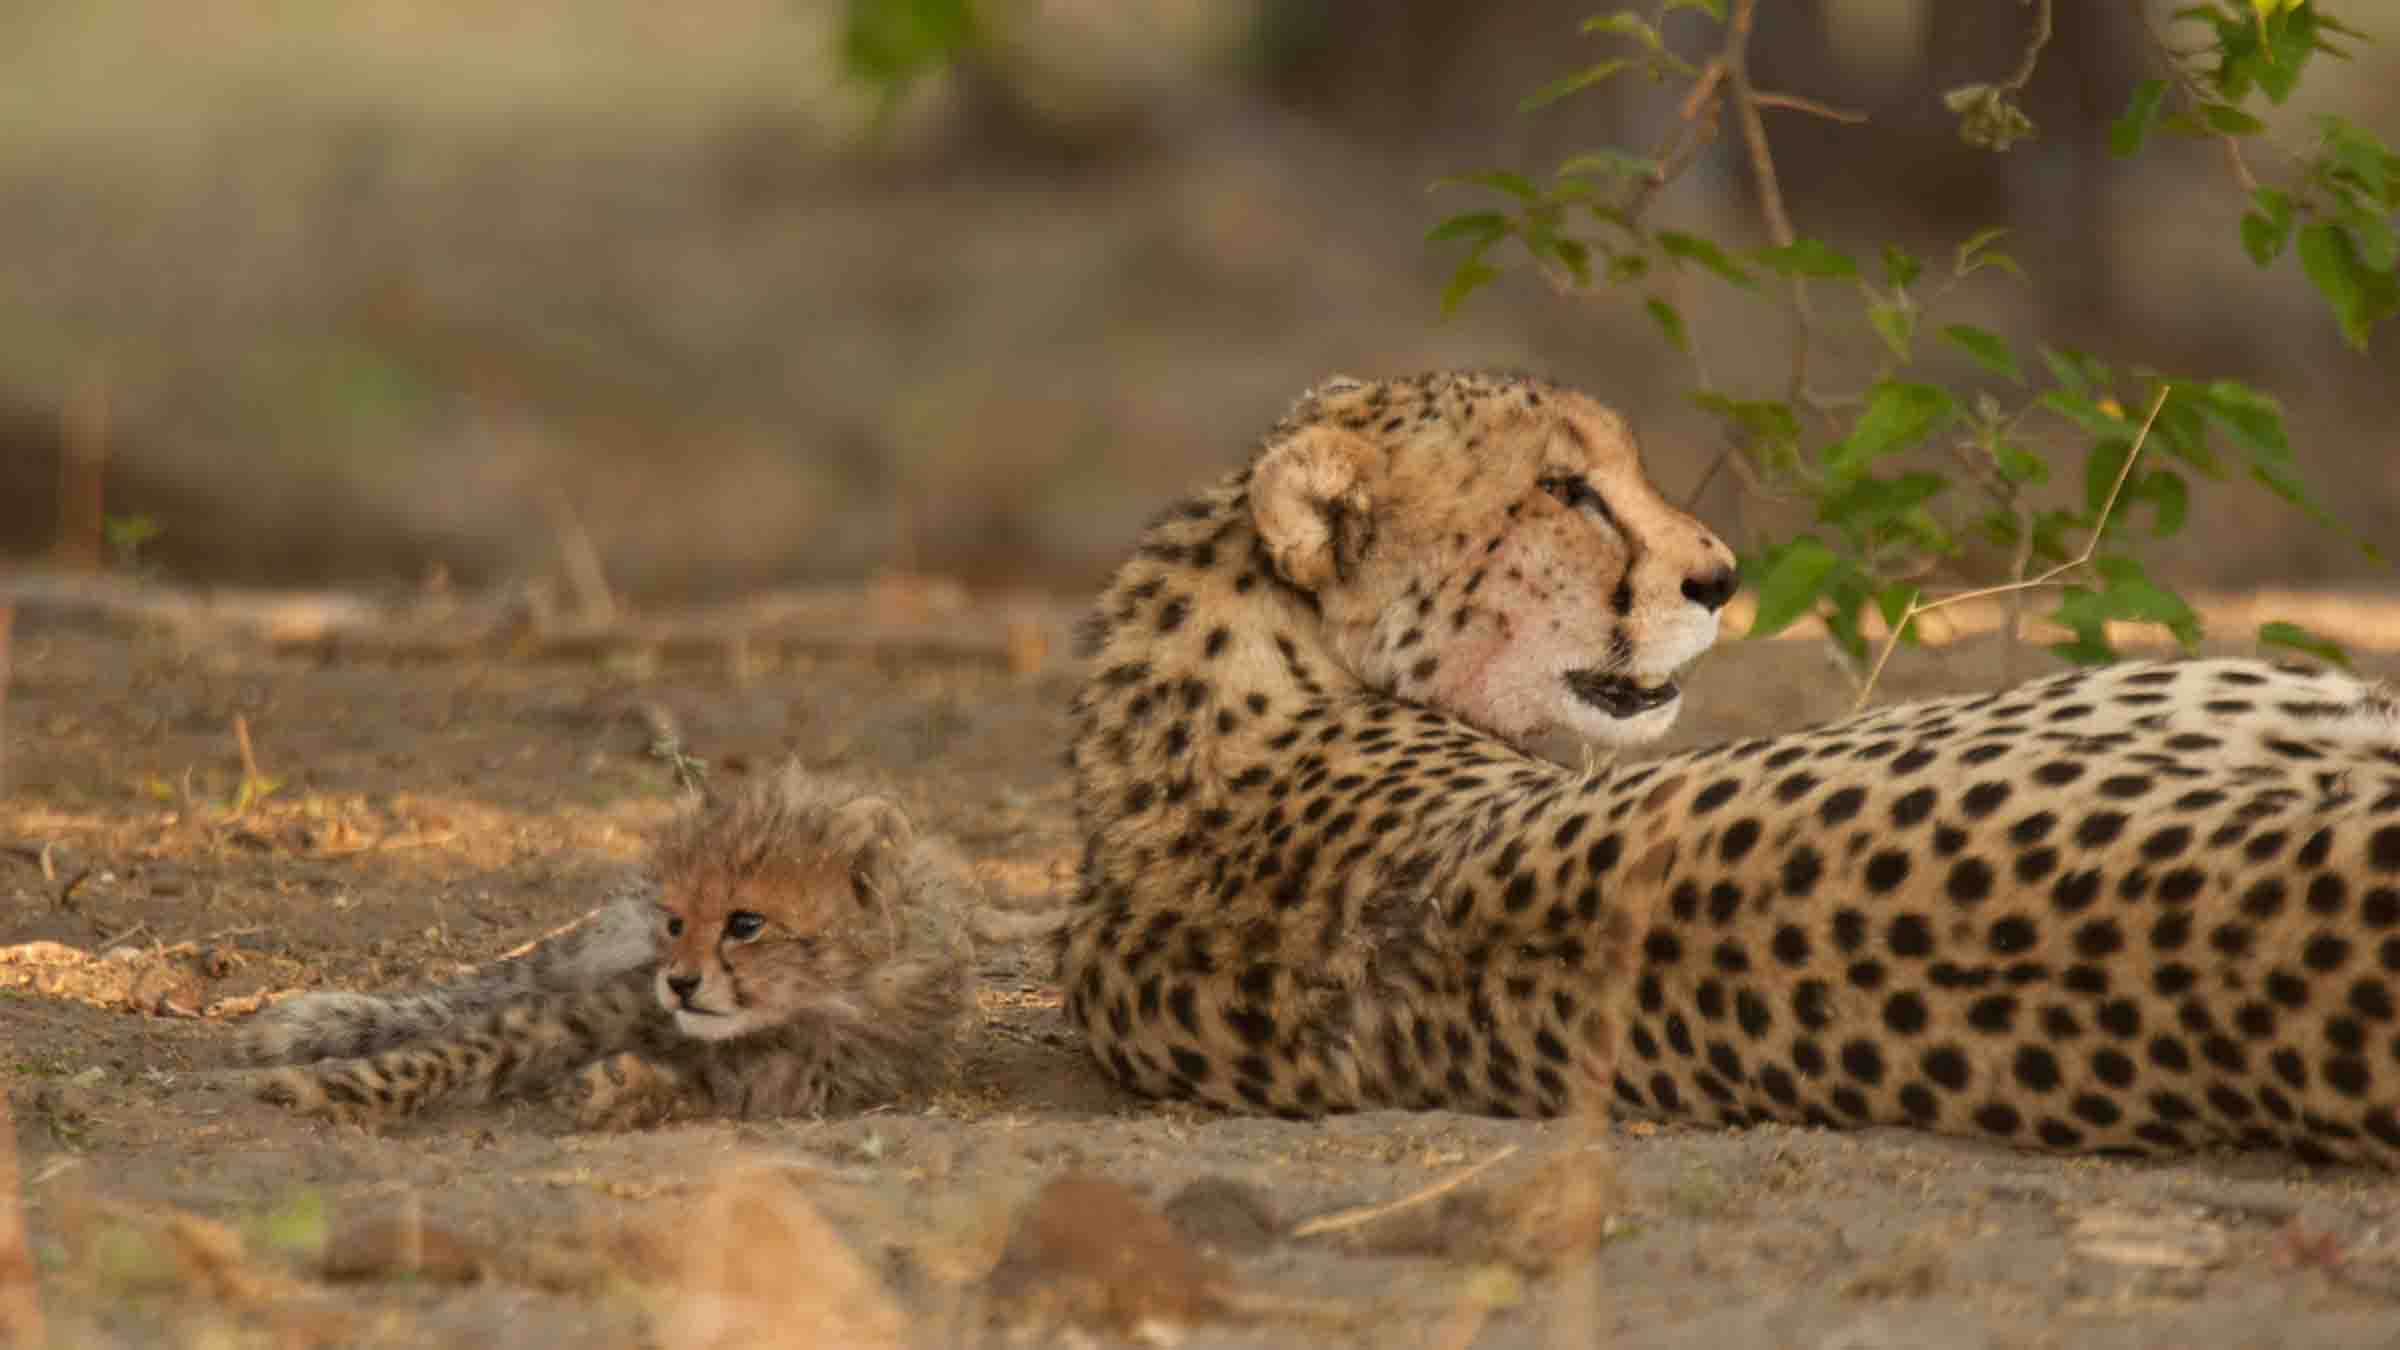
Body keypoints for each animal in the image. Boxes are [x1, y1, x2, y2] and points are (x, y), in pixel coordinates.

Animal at [242, 763, 1050, 1128]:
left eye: (745, 924)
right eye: (676, 922)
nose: (680, 983)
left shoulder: (801, 1081)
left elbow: (697, 1086)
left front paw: (614, 1083)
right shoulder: (601, 1002)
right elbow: (468, 1042)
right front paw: (334, 1083)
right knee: (484, 989)